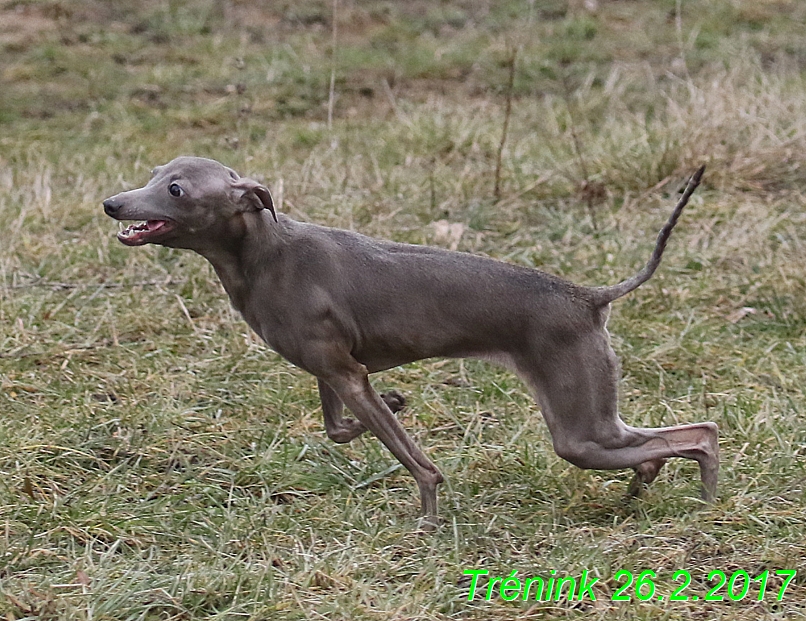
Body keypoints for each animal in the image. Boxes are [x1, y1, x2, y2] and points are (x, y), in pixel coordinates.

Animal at [105, 156, 720, 528]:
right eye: (154, 173)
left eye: (176, 189)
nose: (112, 203)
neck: (263, 252)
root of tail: (588, 297)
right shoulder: (334, 369)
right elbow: (339, 429)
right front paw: (397, 401)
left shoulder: (345, 373)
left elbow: (418, 464)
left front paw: (428, 518)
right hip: (595, 418)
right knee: (670, 438)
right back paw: (644, 486)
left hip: (579, 429)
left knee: (701, 435)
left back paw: (706, 500)